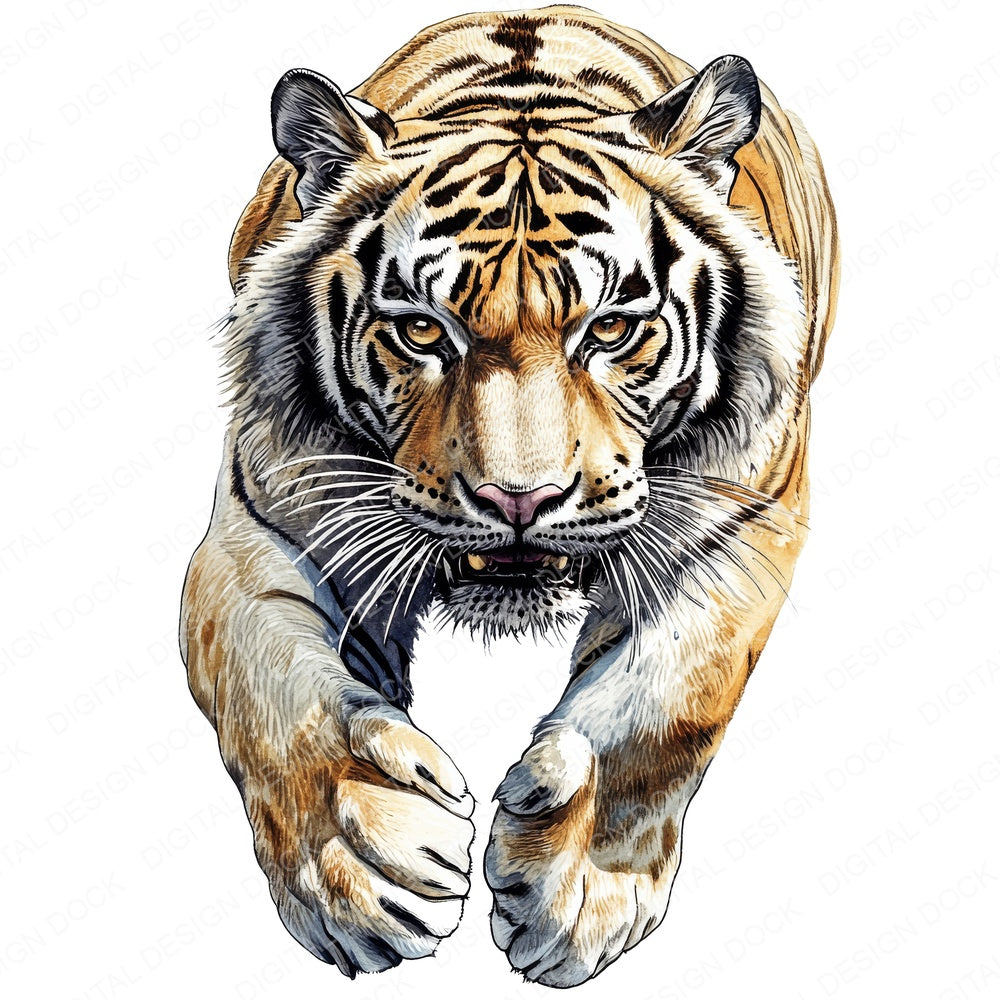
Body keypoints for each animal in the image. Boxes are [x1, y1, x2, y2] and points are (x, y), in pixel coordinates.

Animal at [180, 4, 838, 988]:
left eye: (611, 329)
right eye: (422, 330)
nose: (518, 499)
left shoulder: (744, 525)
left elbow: (668, 697)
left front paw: (575, 895)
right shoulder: (259, 528)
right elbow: (269, 689)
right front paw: (363, 866)